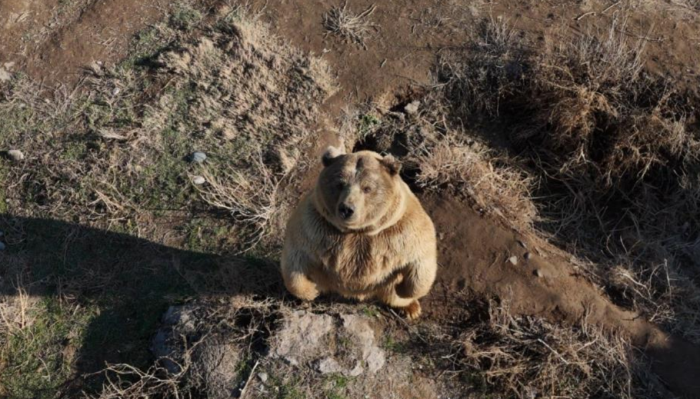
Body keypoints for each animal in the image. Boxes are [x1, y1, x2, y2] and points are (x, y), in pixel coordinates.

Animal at [280, 145, 438, 320]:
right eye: (340, 184)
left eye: (367, 188)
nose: (346, 209)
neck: (359, 231)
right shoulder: (315, 226)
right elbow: (295, 259)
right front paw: (311, 291)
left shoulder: (400, 230)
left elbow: (421, 259)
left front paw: (404, 290)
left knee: (392, 294)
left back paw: (411, 308)